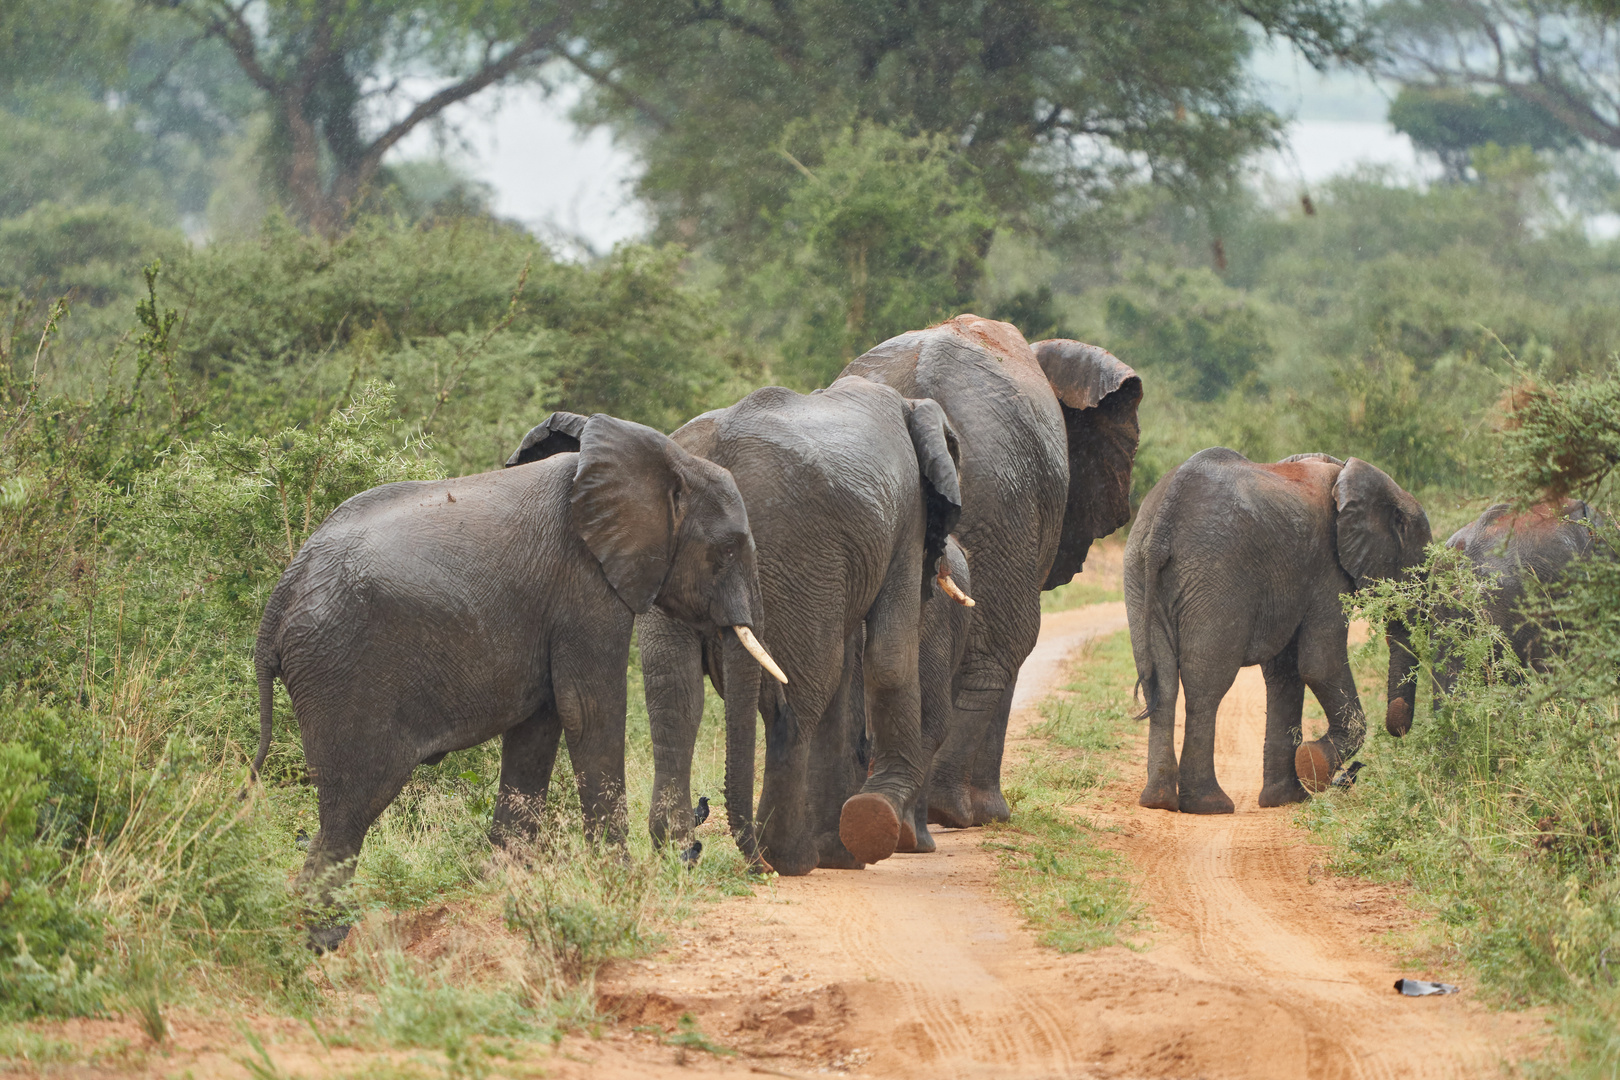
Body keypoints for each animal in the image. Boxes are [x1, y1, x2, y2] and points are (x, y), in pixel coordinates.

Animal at [255, 414, 780, 945]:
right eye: (727, 550)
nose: (763, 870)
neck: (661, 458)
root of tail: (279, 598)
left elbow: (539, 725)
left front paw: (505, 877)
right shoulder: (585, 583)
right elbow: (588, 709)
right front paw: (621, 879)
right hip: (342, 672)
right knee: (354, 802)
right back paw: (327, 936)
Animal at [511, 375, 959, 874]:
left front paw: (843, 853)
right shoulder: (907, 518)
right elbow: (889, 655)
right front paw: (866, 831)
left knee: (676, 694)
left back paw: (689, 845)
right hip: (804, 554)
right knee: (802, 696)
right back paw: (787, 858)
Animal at [1127, 446, 1432, 809]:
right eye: (1422, 567)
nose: (1397, 728)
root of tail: (1165, 513)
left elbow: (1285, 673)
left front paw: (1286, 799)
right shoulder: (1327, 569)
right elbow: (1320, 666)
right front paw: (1313, 765)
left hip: (1138, 571)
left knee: (1161, 682)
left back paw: (1156, 801)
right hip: (1216, 574)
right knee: (1207, 684)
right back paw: (1210, 805)